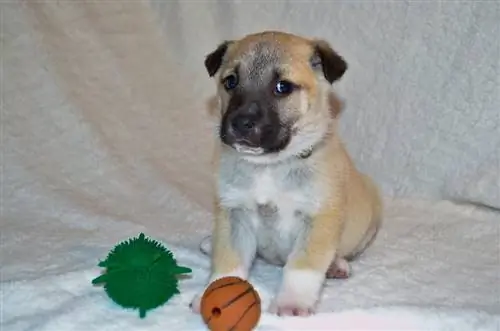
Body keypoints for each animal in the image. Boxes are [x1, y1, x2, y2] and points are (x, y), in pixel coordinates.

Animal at [189, 31, 380, 320]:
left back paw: (337, 265)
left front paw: (292, 303)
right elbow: (228, 263)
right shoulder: (234, 216)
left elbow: (302, 268)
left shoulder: (318, 220)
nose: (240, 123)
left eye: (283, 87)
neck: (269, 166)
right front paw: (211, 293)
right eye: (231, 81)